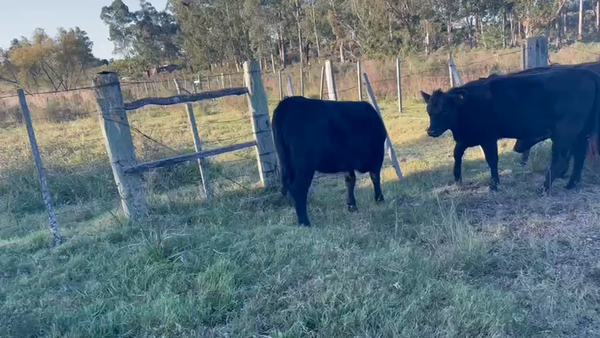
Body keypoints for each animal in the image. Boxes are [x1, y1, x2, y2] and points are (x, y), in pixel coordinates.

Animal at [274, 96, 390, 226]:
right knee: (298, 189)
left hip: (287, 163)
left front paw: (351, 206)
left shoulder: (348, 160)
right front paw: (380, 199)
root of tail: (287, 102)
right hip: (305, 165)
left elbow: (350, 180)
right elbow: (375, 178)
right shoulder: (377, 155)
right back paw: (305, 222)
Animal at [420, 67, 600, 191]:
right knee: (580, 154)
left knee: (561, 157)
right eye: (428, 111)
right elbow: (457, 153)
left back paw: (544, 188)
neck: (467, 105)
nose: (431, 131)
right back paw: (571, 183)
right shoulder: (469, 137)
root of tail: (588, 74)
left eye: (445, 111)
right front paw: (458, 179)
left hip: (565, 131)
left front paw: (494, 184)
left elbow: (492, 159)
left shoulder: (487, 137)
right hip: (581, 132)